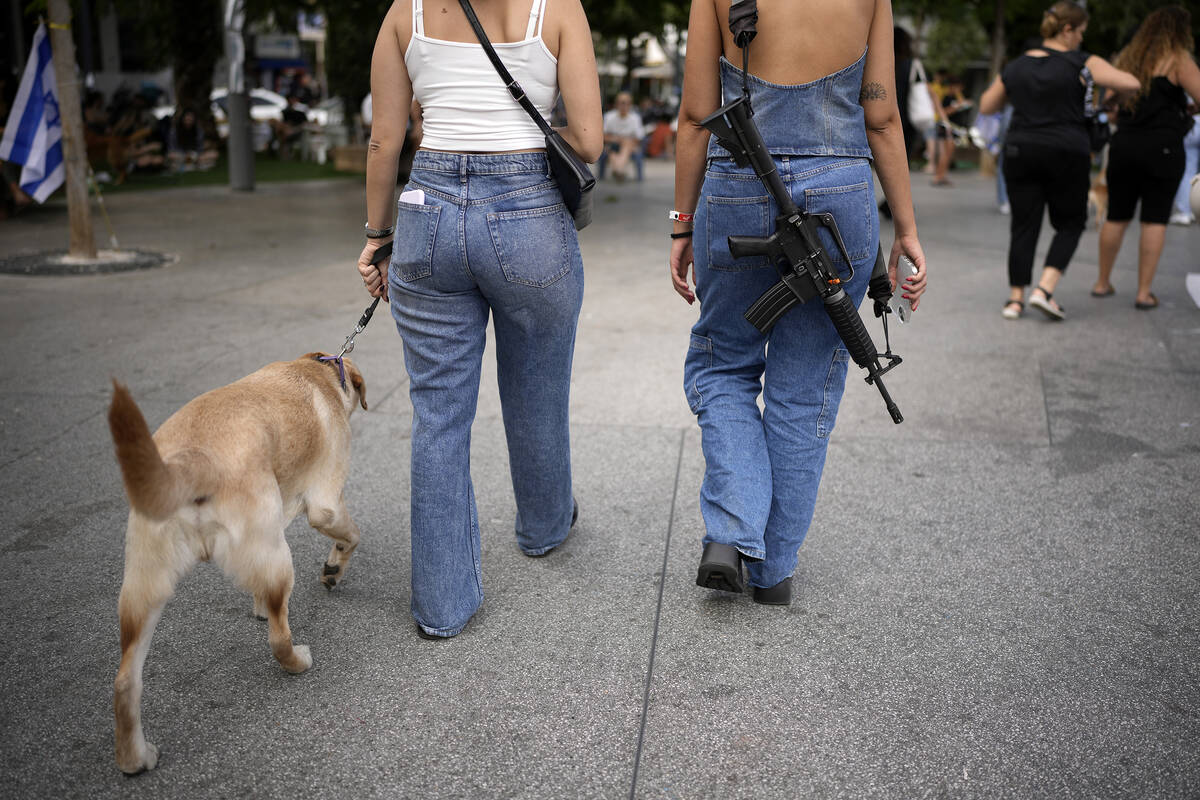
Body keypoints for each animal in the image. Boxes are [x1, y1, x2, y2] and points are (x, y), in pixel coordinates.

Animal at [103, 352, 364, 777]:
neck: (318, 371)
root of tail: (192, 462)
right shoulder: (324, 504)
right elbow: (351, 535)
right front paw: (334, 568)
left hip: (142, 588)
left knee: (125, 681)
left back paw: (134, 758)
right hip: (278, 557)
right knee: (278, 640)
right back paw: (298, 661)